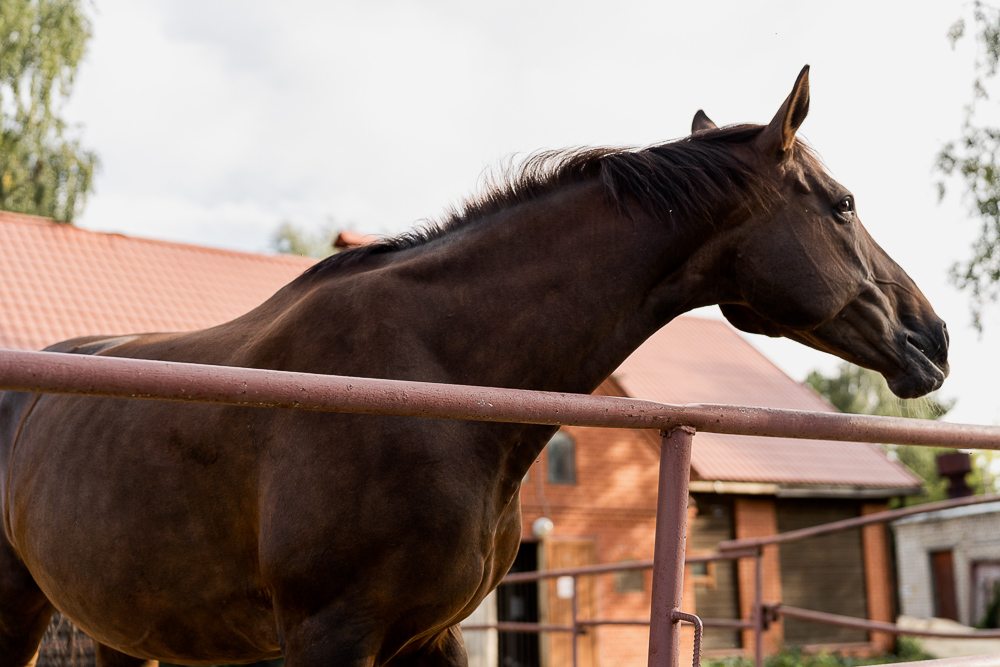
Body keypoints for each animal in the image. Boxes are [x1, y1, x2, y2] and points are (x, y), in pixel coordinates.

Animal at [0, 69, 948, 667]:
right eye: (844, 204)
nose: (933, 337)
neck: (434, 377)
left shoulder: (431, 633)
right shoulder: (329, 633)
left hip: (128, 630)